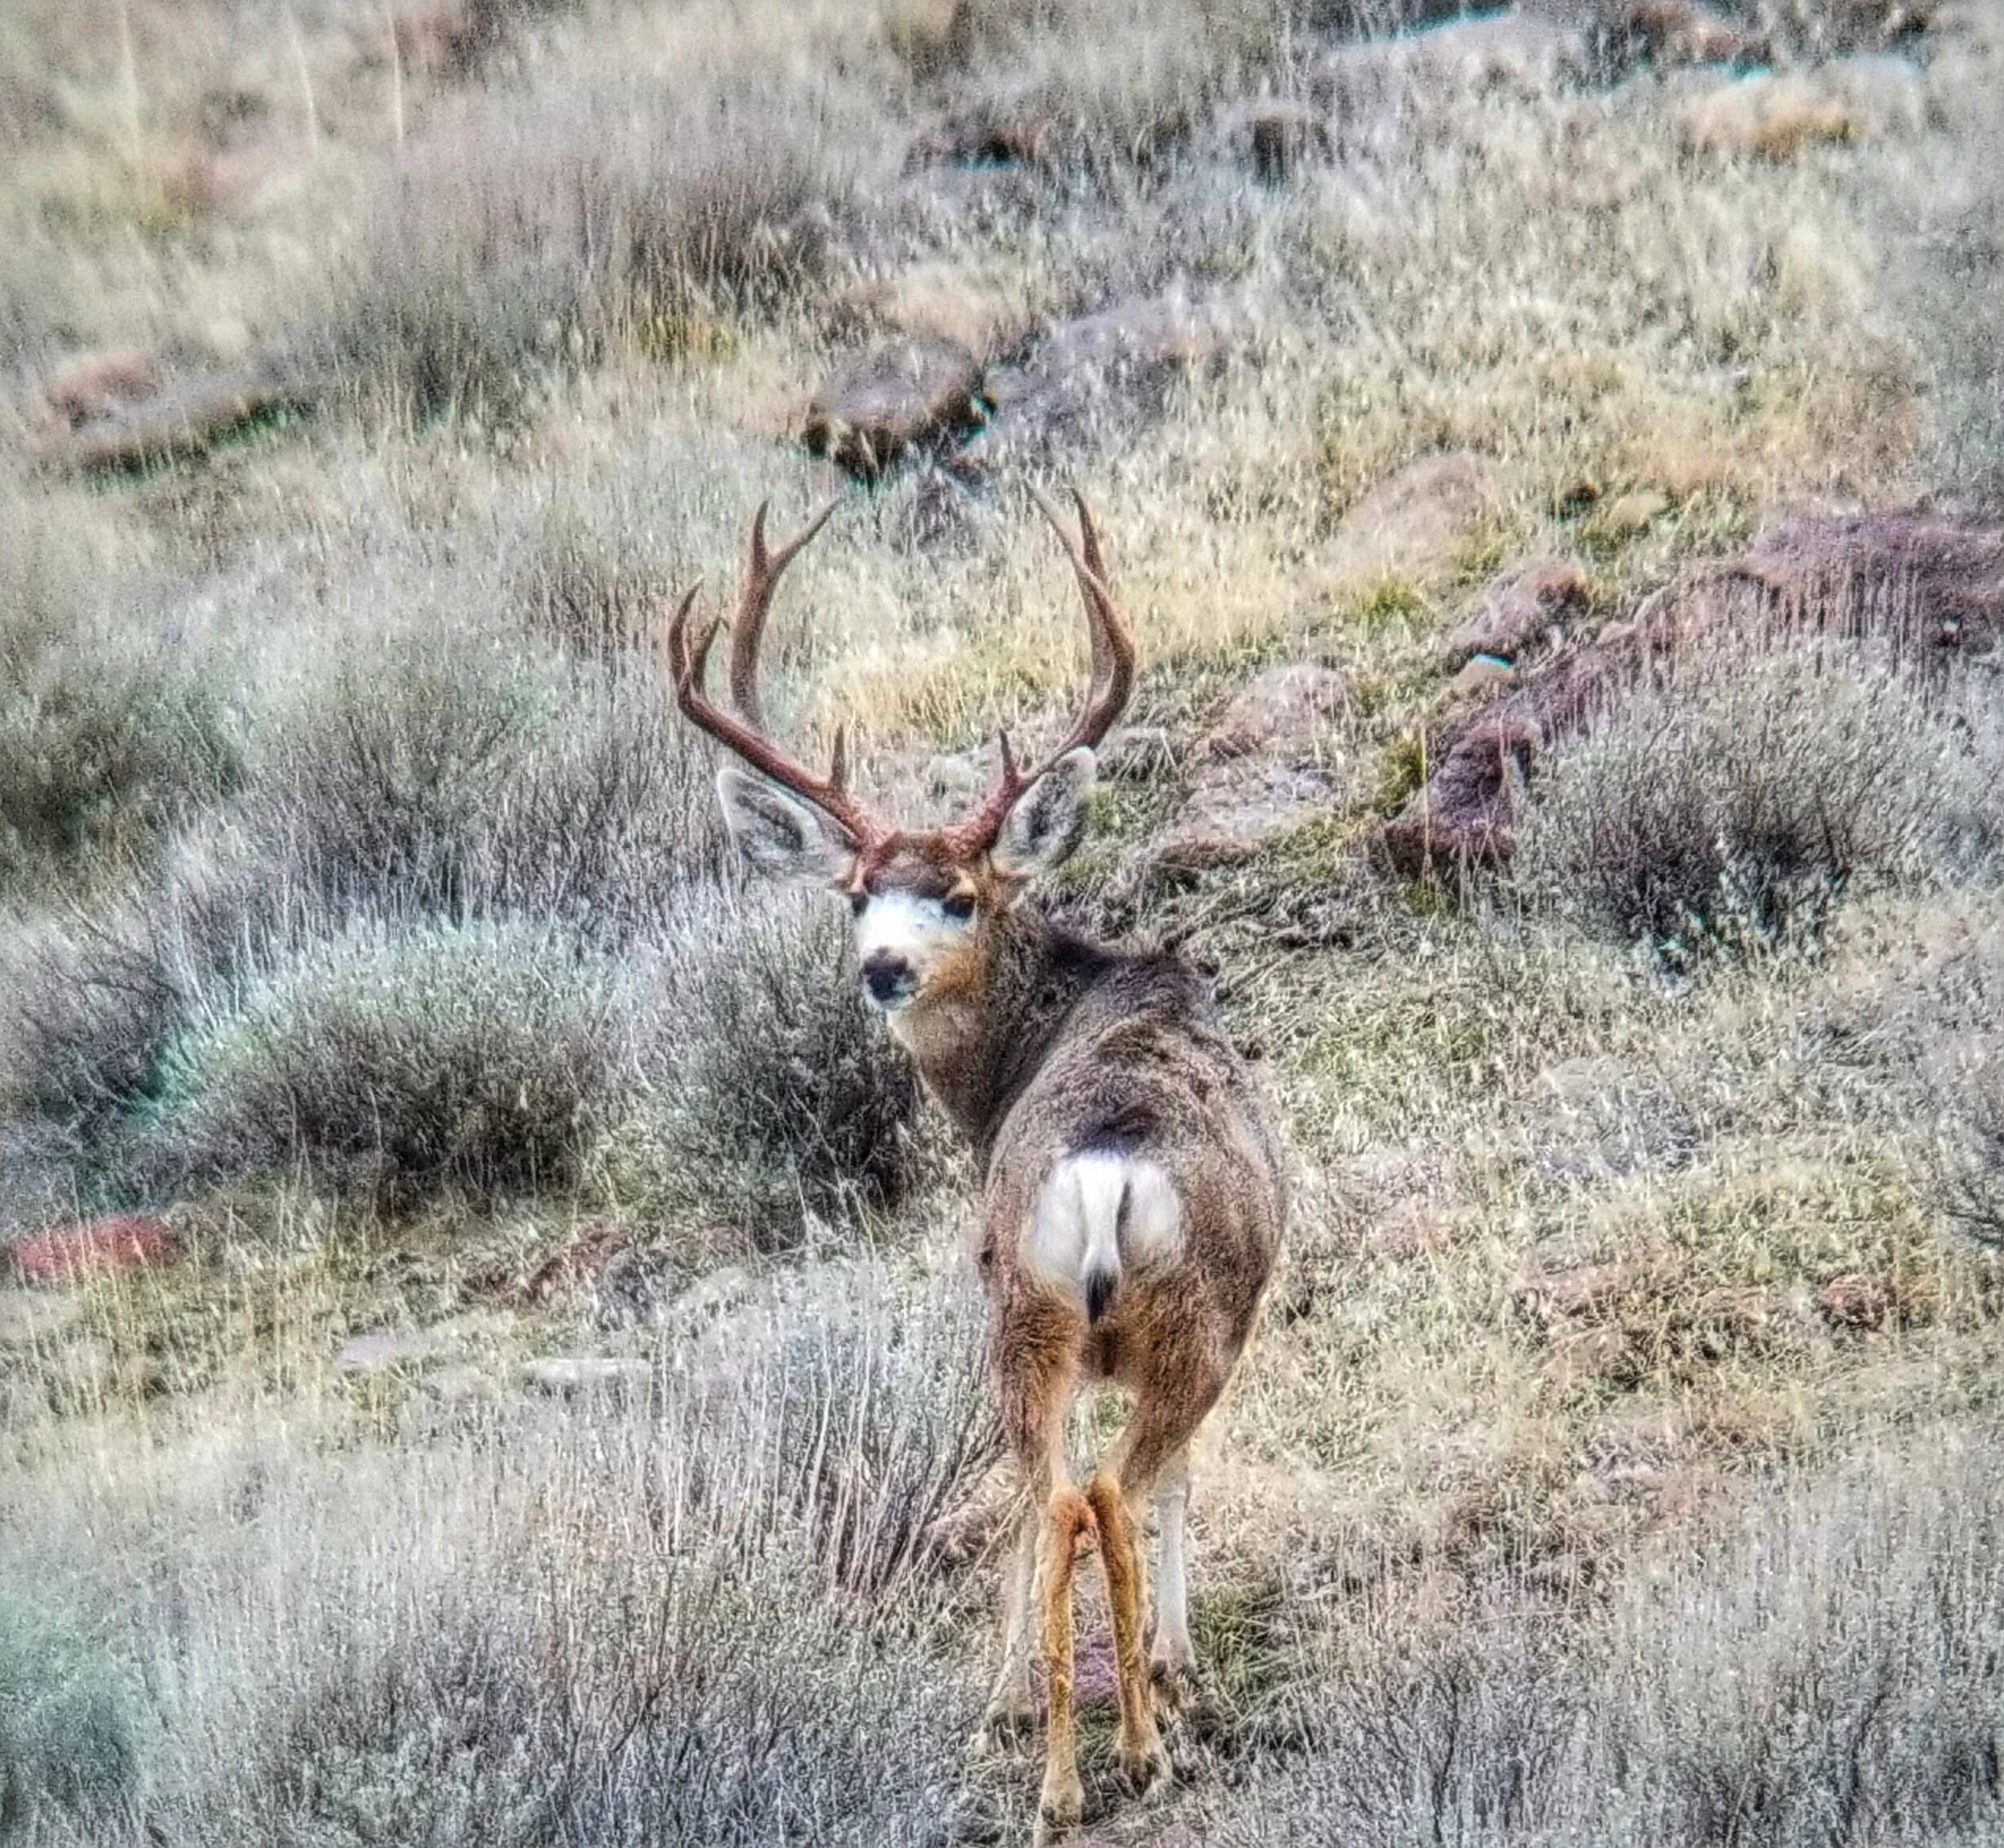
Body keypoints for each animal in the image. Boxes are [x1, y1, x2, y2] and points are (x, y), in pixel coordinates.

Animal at [661, 490, 1286, 1844]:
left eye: (952, 892)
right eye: (856, 893)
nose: (882, 965)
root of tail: (1105, 1168)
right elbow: (1179, 1488)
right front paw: (1175, 1665)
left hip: (1027, 1315)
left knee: (1049, 1494)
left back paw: (1054, 1778)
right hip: (1175, 1322)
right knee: (1105, 1490)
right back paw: (1131, 1751)